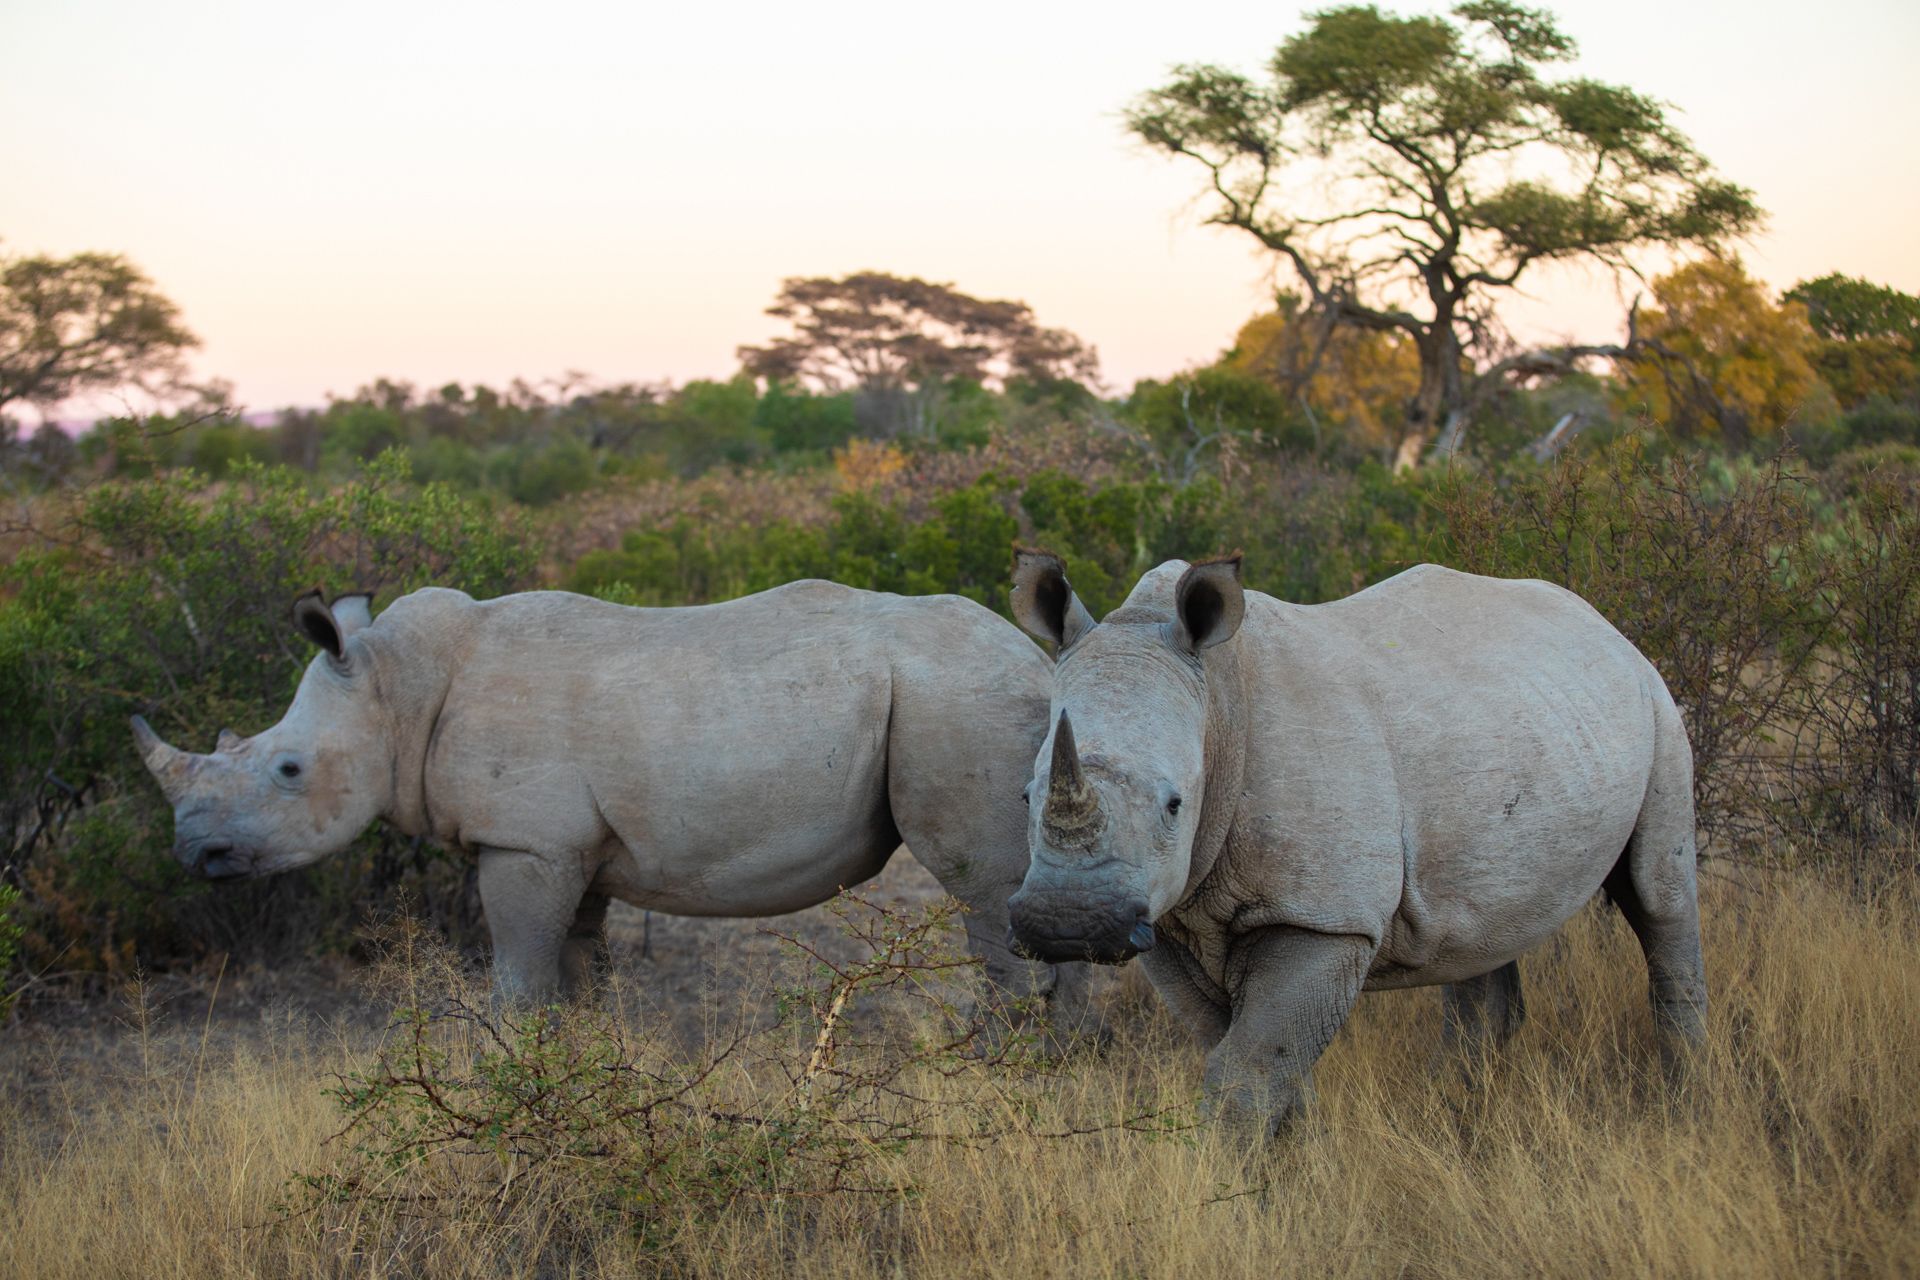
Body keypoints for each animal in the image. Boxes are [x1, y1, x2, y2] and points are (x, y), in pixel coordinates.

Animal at [132, 582, 1087, 1020]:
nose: (192, 853)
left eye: (288, 770)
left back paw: (1010, 1060)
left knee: (982, 888)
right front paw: (582, 1073)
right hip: (975, 701)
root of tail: (1039, 661)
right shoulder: (571, 849)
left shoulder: (523, 842)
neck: (396, 691)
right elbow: (575, 974)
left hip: (957, 698)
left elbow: (517, 978)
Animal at [1005, 551, 1707, 1137]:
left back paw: (1683, 1111)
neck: (1219, 709)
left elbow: (1250, 1064)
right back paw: (1461, 1116)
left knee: (1659, 898)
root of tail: (1602, 621)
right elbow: (1247, 1055)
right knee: (1481, 928)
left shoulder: (1324, 918)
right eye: (1026, 798)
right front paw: (1295, 1163)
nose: (1069, 924)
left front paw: (1236, 1183)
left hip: (1656, 706)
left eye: (1175, 805)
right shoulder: (1169, 918)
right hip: (1530, 725)